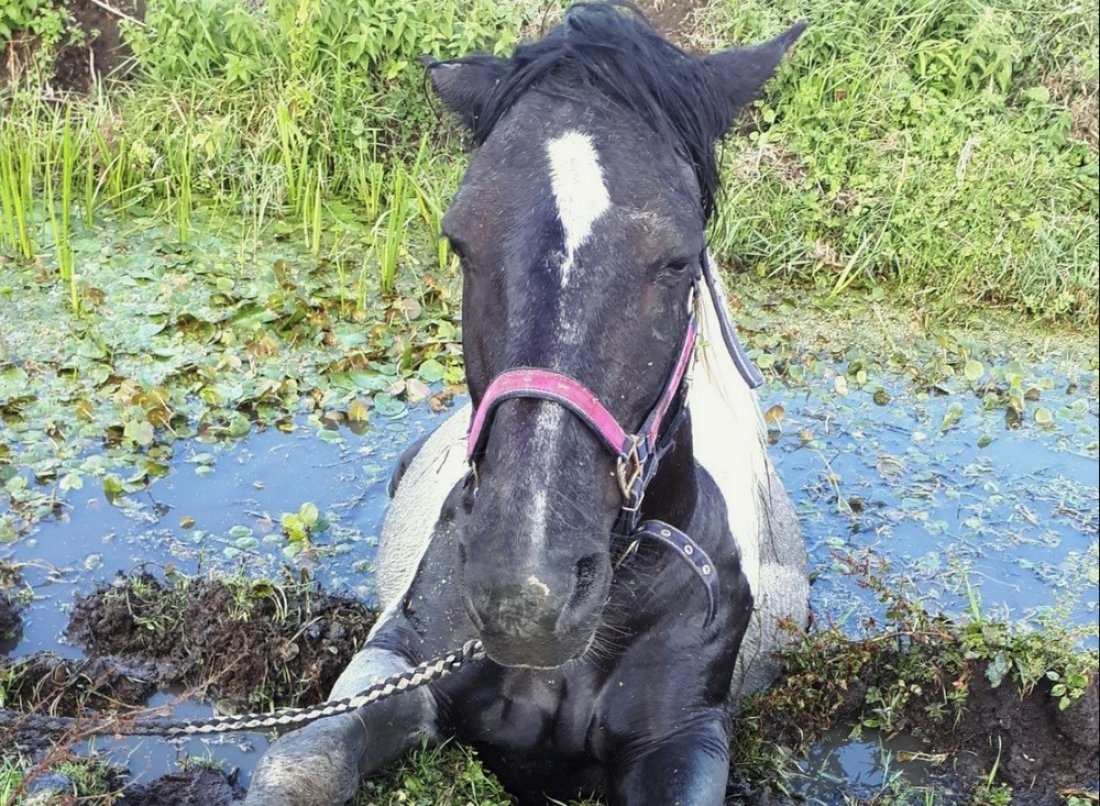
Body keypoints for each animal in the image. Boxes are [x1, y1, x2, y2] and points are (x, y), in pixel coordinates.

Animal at [243, 4, 809, 800]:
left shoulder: (683, 738)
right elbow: (303, 761)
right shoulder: (399, 662)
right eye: (459, 241)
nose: (526, 596)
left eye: (678, 258)